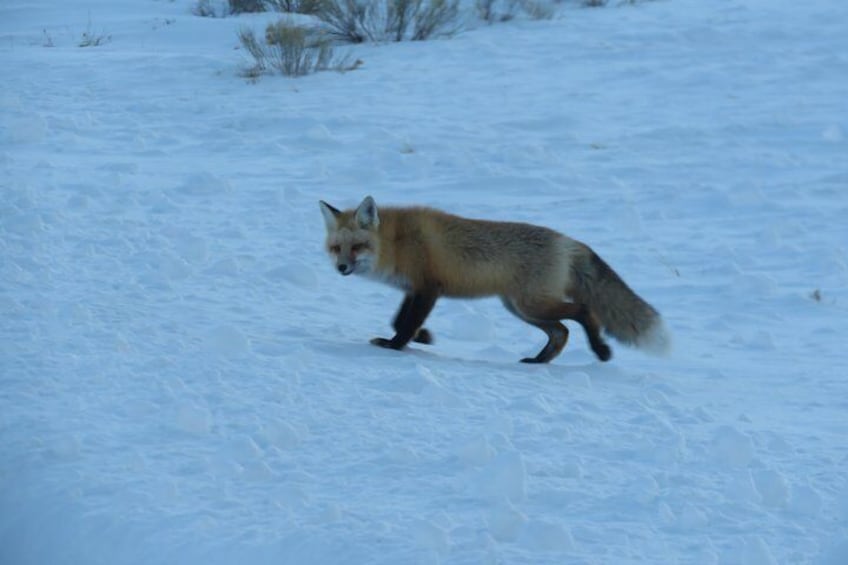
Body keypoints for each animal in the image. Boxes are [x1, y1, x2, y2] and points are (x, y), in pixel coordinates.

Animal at [318, 196, 668, 364]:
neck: (398, 242)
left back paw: (600, 350)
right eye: (336, 248)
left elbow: (404, 325)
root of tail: (567, 240)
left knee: (584, 312)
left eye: (357, 246)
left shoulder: (428, 288)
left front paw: (395, 346)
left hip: (532, 304)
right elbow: (399, 320)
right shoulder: (412, 289)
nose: (342, 268)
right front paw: (424, 337)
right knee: (562, 332)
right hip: (521, 308)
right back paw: (538, 361)